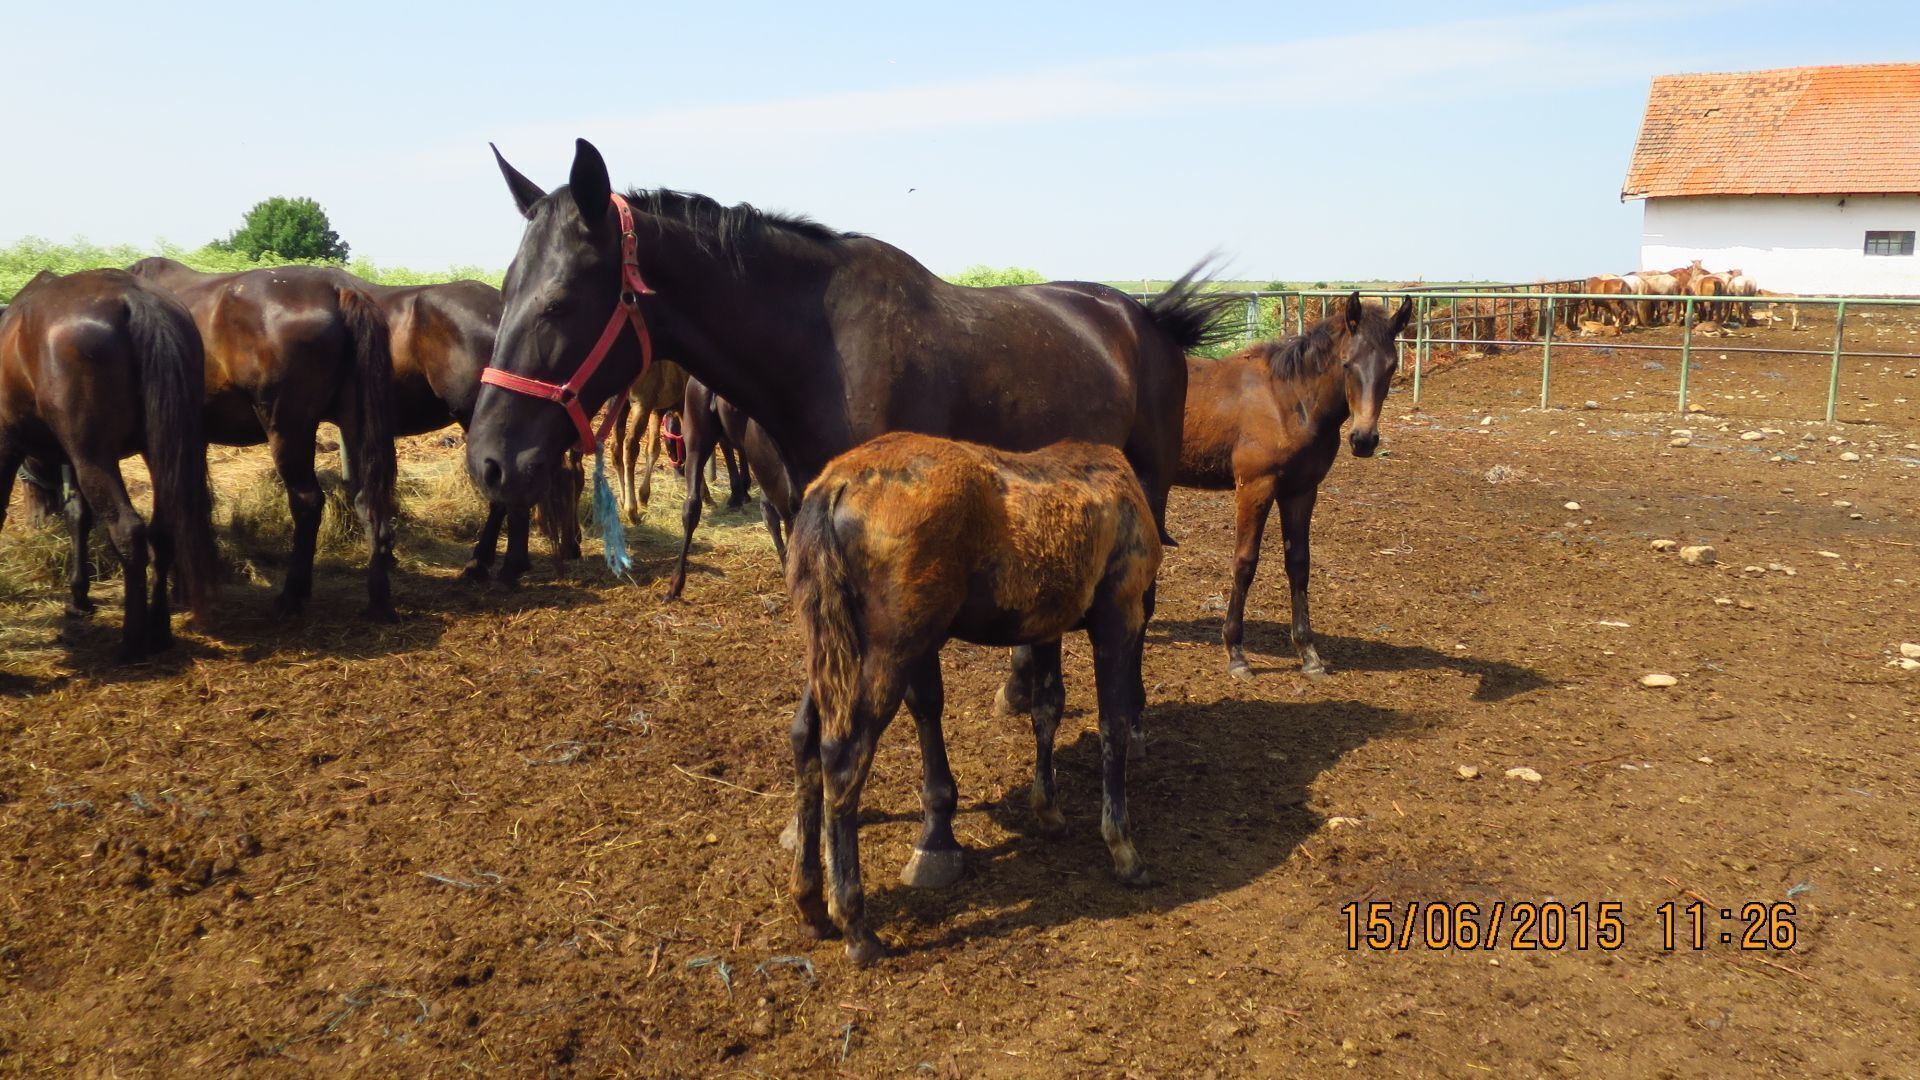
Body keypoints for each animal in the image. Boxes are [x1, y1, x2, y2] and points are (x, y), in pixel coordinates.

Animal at [0, 269, 221, 659]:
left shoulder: (11, 442)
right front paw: (79, 597)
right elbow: (78, 515)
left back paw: (132, 639)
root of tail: (133, 298)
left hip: (94, 457)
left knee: (128, 530)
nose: (36, 519)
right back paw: (159, 629)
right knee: (162, 531)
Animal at [127, 257, 398, 620]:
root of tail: (338, 288)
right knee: (367, 500)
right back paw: (378, 598)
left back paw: (292, 595)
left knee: (308, 502)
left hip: (287, 429)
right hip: (353, 422)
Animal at [786, 432, 1160, 965]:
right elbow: (1113, 726)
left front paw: (1048, 810)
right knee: (843, 756)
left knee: (804, 739)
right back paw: (855, 924)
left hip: (833, 648)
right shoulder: (1119, 615)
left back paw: (810, 902)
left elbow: (1047, 709)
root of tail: (833, 486)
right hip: (891, 651)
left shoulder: (1046, 626)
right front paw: (1123, 848)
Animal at [1178, 293, 1411, 680]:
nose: (1364, 440)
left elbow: (1299, 564)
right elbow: (1245, 562)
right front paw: (1236, 653)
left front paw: (1309, 655)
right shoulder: (1254, 487)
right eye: (1347, 363)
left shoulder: (1301, 491)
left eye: (1391, 367)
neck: (1288, 399)